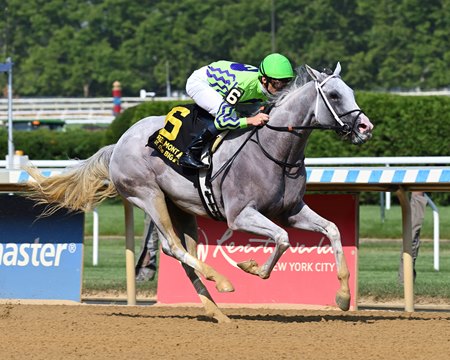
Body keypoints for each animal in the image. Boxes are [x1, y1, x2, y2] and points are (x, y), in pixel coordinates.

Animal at [26, 64, 374, 324]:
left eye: (351, 92)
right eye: (333, 94)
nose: (365, 128)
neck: (274, 150)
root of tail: (119, 142)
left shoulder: (291, 210)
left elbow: (332, 230)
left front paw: (343, 297)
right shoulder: (240, 215)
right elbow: (282, 238)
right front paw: (250, 267)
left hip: (181, 207)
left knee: (182, 252)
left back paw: (217, 311)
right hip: (147, 195)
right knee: (173, 246)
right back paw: (222, 281)